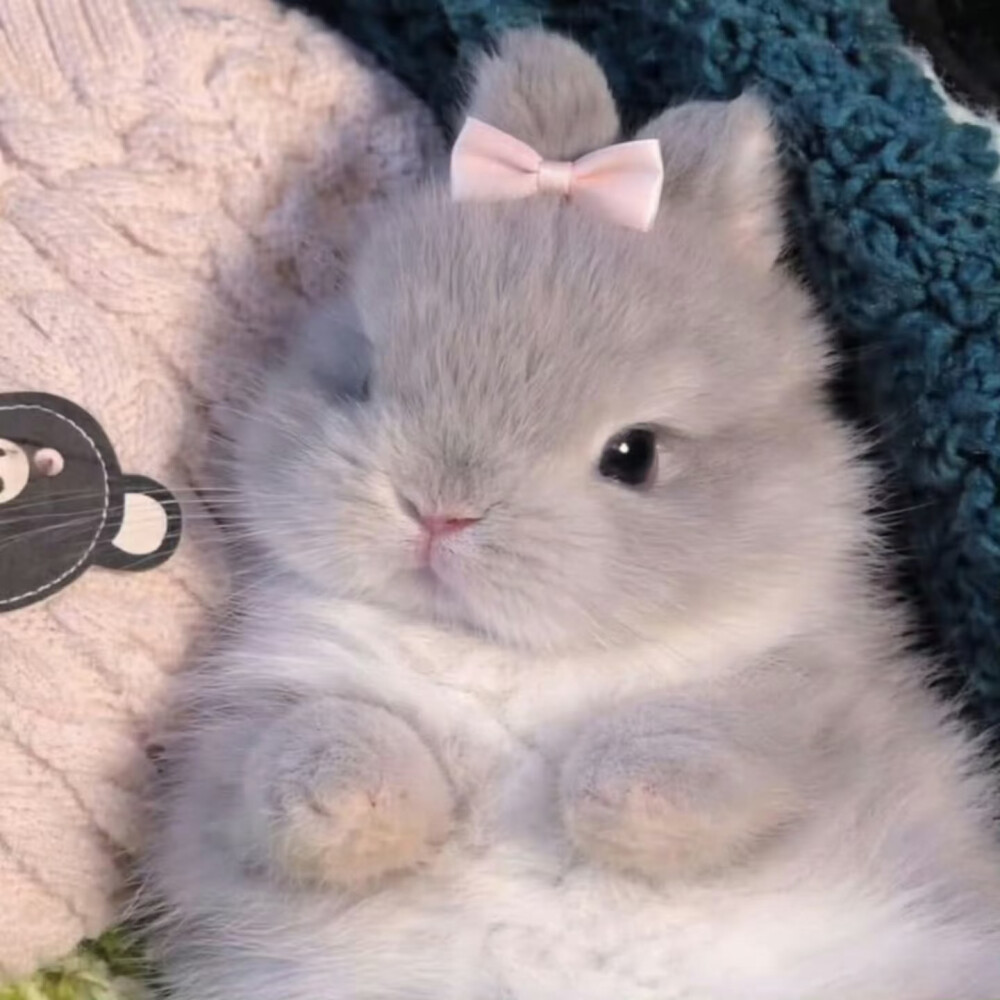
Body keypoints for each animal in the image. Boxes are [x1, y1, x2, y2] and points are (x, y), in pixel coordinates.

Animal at [145, 30, 1000, 1000]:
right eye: (361, 378)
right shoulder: (233, 747)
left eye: (634, 455)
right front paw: (350, 794)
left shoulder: (818, 704)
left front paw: (610, 795)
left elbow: (740, 742)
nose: (440, 513)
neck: (504, 659)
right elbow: (298, 745)